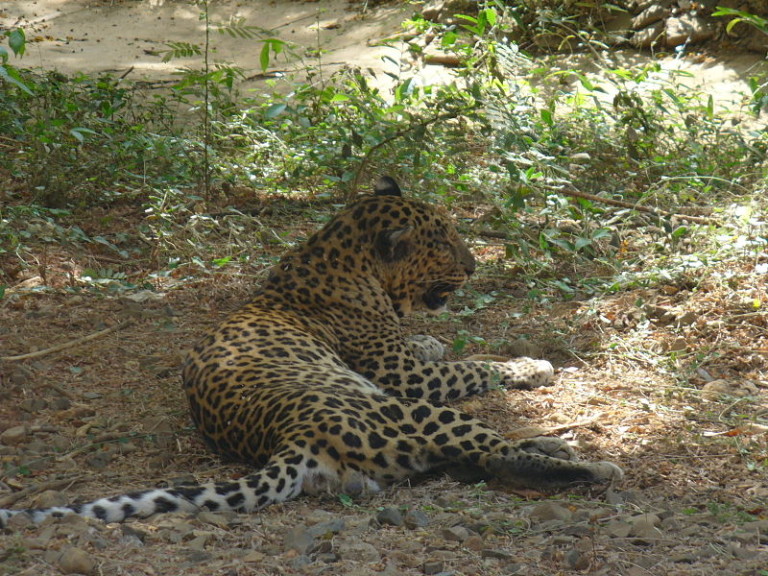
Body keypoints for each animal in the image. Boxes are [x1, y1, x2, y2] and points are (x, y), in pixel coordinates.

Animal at [0, 178, 620, 528]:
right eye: (443, 242)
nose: (472, 266)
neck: (338, 256)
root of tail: (292, 439)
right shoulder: (404, 378)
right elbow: (473, 365)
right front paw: (530, 365)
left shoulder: (399, 357)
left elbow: (434, 346)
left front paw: (436, 337)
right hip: (406, 410)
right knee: (497, 455)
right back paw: (592, 463)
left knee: (480, 454)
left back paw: (557, 443)